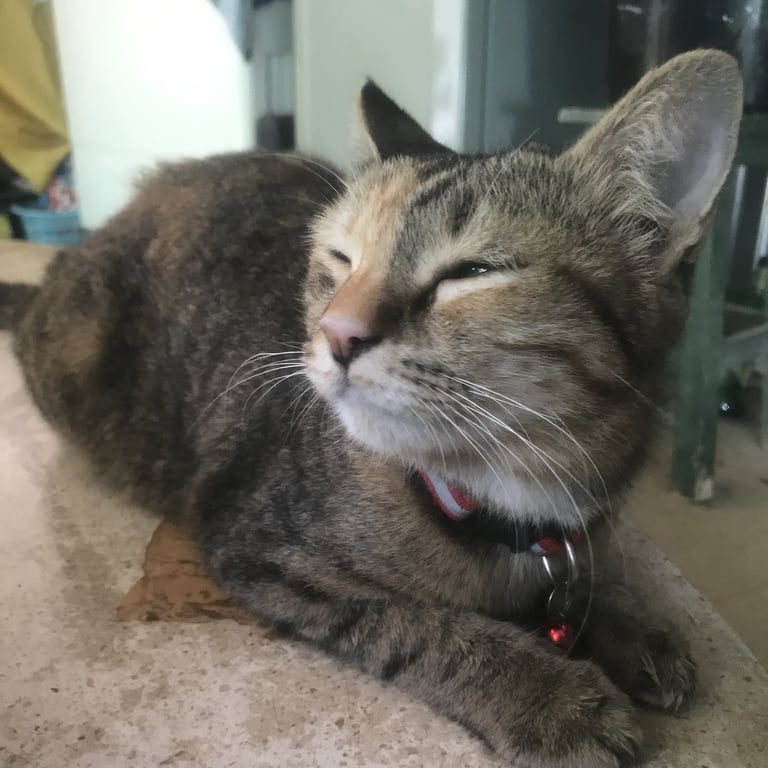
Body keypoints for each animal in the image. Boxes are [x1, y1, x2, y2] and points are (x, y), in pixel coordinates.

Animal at [8, 50, 741, 767]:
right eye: (340, 258)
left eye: (473, 272)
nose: (336, 333)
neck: (515, 499)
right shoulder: (267, 550)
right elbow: (426, 626)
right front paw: (550, 696)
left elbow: (593, 571)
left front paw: (628, 621)